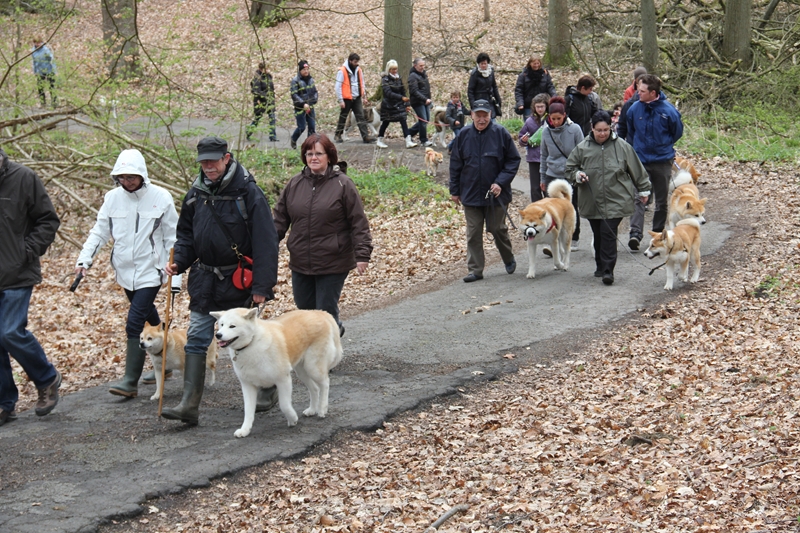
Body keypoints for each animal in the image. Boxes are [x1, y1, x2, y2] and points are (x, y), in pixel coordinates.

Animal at [209, 308, 344, 436]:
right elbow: (248, 411)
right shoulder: (247, 386)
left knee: (325, 383)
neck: (252, 343)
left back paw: (322, 409)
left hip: (313, 368)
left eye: (232, 326)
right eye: (221, 324)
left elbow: (284, 405)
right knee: (315, 388)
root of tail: (318, 312)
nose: (218, 335)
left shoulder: (283, 380)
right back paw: (312, 410)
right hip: (302, 371)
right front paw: (245, 430)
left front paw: (292, 419)